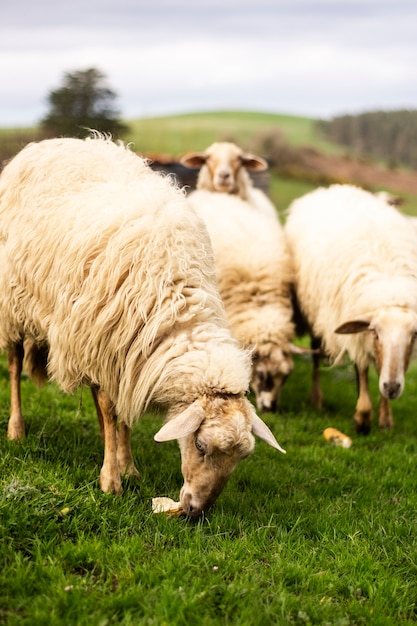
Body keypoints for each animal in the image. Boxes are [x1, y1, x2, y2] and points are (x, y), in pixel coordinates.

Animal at [284, 183, 416, 432]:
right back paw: (316, 398)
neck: (389, 286)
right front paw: (362, 417)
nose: (393, 388)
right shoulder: (356, 329)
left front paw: (385, 417)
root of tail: (336, 187)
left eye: (414, 336)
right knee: (316, 354)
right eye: (376, 333)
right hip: (317, 313)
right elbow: (362, 369)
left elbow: (380, 370)